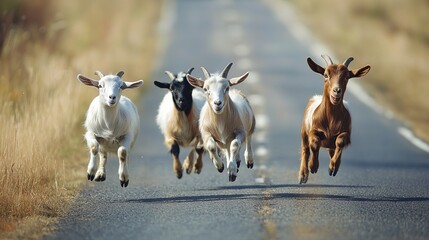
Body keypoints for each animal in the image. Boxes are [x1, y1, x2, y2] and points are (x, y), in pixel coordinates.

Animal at [298, 54, 372, 184]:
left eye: (347, 76)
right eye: (326, 75)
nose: (336, 91)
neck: (331, 120)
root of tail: (315, 97)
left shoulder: (346, 132)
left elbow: (340, 142)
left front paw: (332, 167)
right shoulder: (313, 130)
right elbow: (314, 143)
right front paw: (313, 166)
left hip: (330, 144)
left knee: (333, 149)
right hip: (303, 132)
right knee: (305, 149)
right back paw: (303, 175)